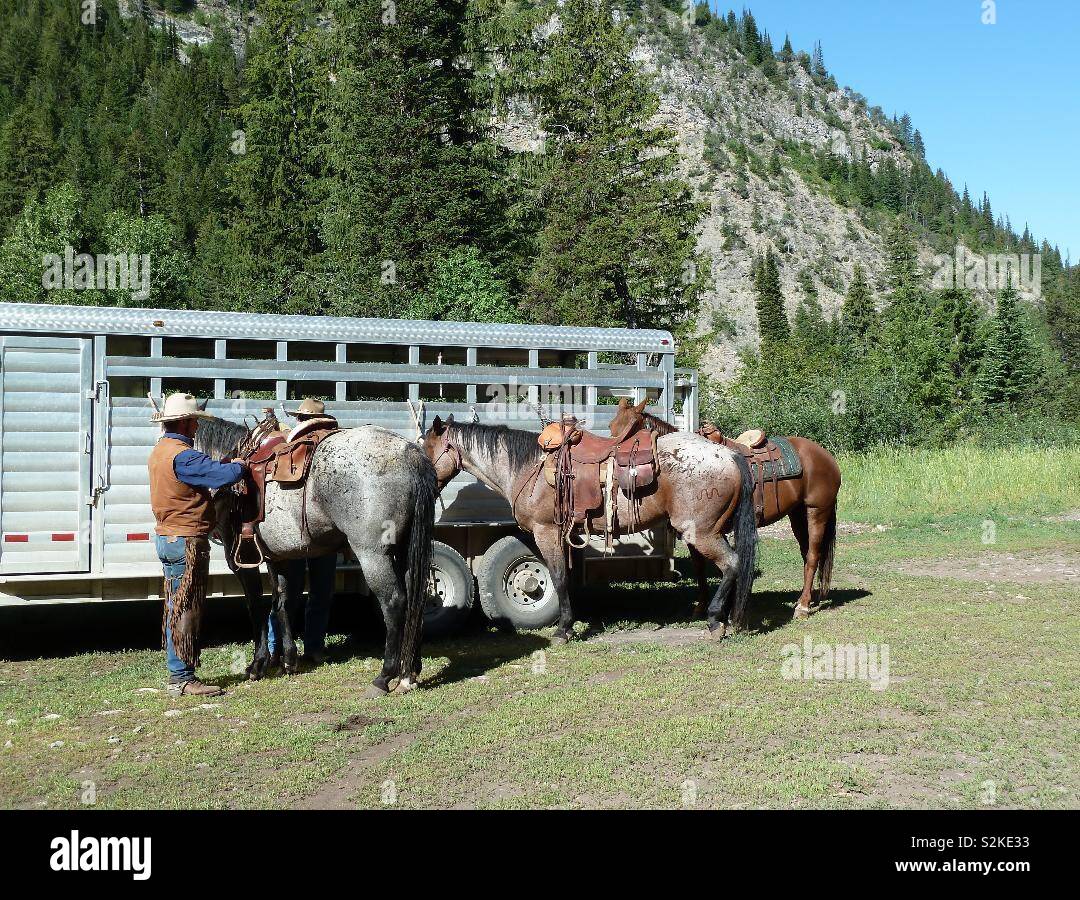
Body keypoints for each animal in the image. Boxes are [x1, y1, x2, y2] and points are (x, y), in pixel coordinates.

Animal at [195, 415, 437, 696]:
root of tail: (410, 454)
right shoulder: (278, 557)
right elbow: (281, 603)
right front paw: (287, 660)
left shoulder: (242, 560)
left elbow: (256, 606)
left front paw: (258, 664)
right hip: (404, 550)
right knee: (414, 599)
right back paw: (410, 672)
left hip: (374, 554)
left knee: (394, 602)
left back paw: (384, 676)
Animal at [422, 412, 758, 641]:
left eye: (425, 448)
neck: (527, 467)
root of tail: (728, 454)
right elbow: (561, 577)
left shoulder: (547, 532)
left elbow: (557, 578)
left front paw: (563, 629)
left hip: (701, 532)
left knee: (732, 563)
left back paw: (715, 620)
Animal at [607, 402, 841, 620]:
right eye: (612, 426)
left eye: (633, 429)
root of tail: (826, 456)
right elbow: (700, 566)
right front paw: (702, 607)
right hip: (797, 515)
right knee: (806, 554)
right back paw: (806, 600)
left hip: (816, 512)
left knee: (812, 555)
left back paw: (802, 607)